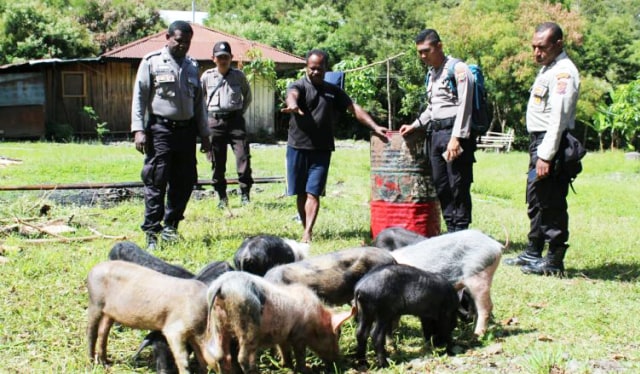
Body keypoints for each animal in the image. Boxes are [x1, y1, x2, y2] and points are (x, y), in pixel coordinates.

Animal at [205, 270, 352, 372]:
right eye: (337, 335)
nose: (339, 360)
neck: (315, 319)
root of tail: (222, 285)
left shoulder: (283, 334)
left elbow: (284, 350)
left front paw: (286, 365)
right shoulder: (298, 335)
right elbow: (300, 353)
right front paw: (305, 369)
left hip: (218, 322)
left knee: (221, 356)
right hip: (247, 319)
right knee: (243, 358)